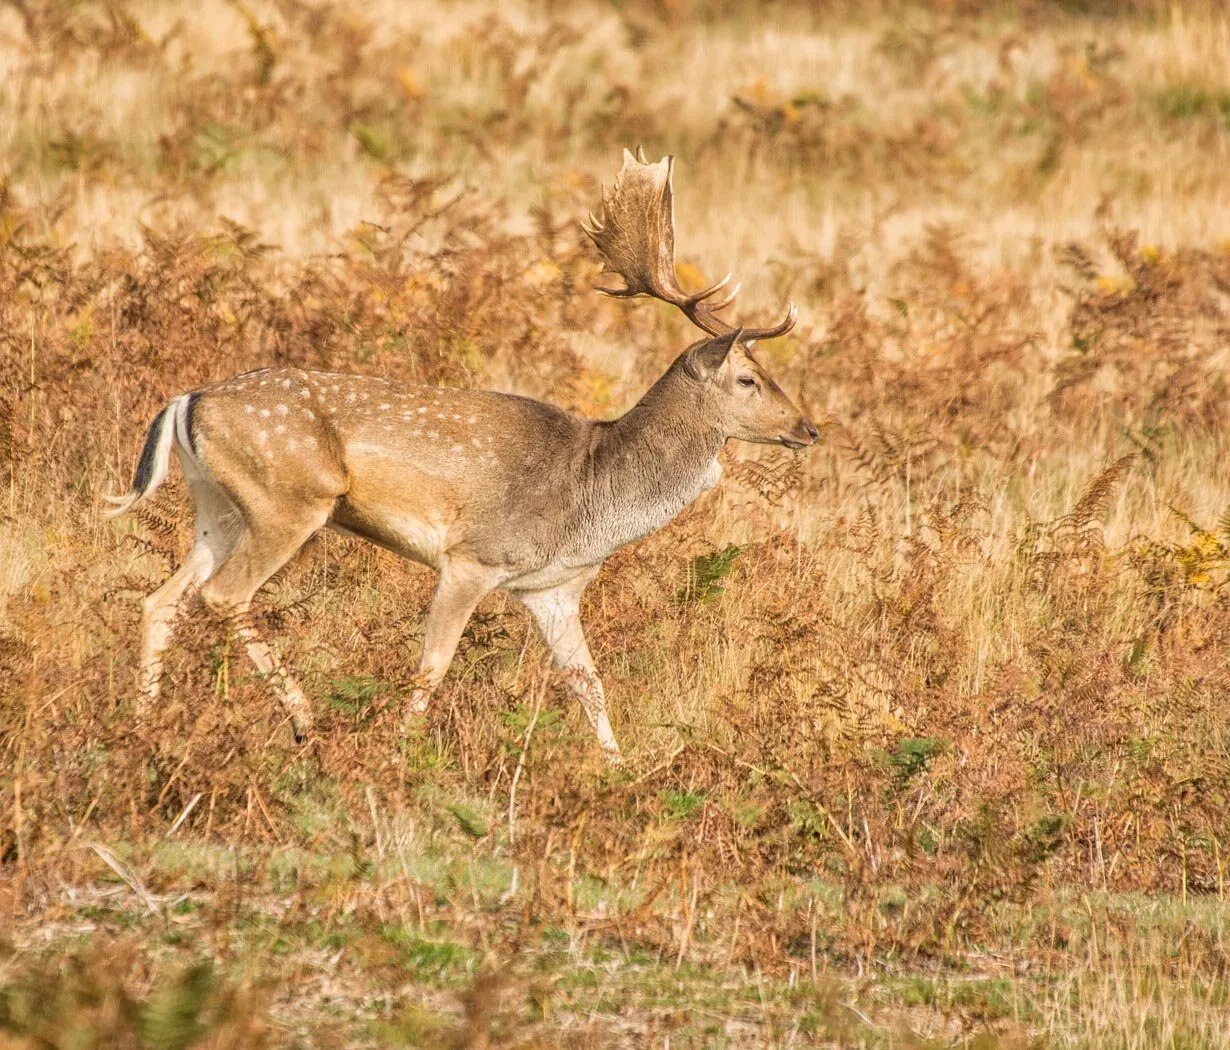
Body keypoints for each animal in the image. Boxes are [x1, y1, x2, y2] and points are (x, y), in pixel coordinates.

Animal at [104, 149, 819, 762]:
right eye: (748, 378)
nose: (808, 428)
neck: (593, 491)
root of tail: (186, 400)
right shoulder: (473, 556)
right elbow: (433, 664)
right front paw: (399, 753)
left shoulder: (553, 589)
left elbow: (589, 683)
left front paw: (619, 771)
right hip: (290, 498)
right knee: (223, 595)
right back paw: (304, 723)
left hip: (219, 507)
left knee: (161, 600)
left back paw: (142, 726)